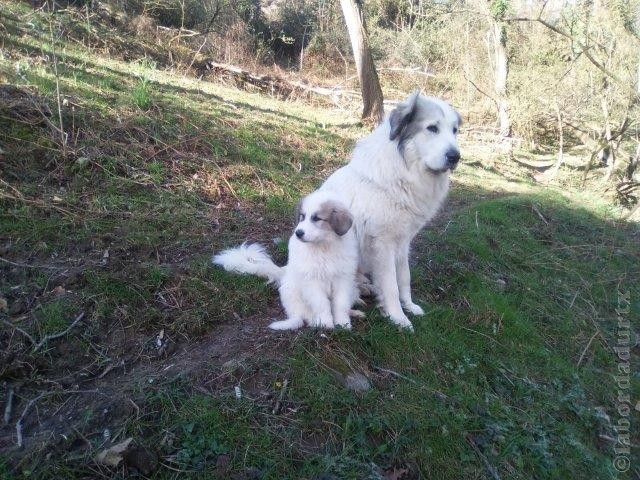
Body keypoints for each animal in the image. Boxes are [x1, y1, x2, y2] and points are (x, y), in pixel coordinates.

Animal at [214, 190, 360, 330]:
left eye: (316, 218)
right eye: (302, 216)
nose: (298, 233)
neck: (323, 247)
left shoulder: (343, 280)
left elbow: (340, 304)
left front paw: (343, 324)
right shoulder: (312, 282)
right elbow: (322, 304)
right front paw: (325, 323)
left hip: (353, 288)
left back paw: (354, 313)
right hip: (290, 292)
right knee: (300, 318)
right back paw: (309, 322)